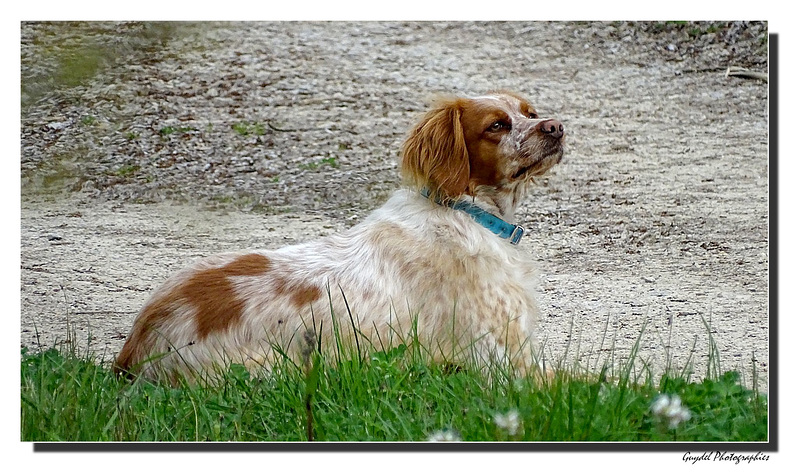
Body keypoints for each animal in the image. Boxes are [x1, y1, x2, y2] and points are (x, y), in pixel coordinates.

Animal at [112, 90, 564, 384]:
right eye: (497, 125)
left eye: (530, 112)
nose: (555, 126)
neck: (468, 212)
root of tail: (135, 346)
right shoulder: (508, 363)